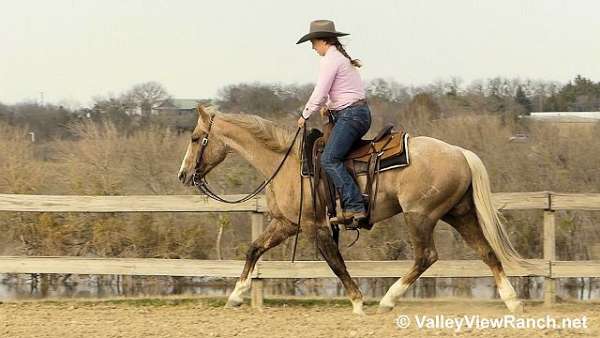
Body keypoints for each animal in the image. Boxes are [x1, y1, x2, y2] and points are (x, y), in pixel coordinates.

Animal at [177, 105, 528, 314]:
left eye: (195, 138)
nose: (183, 175)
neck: (288, 164)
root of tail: (459, 152)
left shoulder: (315, 226)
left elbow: (336, 264)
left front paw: (359, 303)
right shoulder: (285, 224)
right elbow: (253, 249)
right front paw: (235, 296)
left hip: (421, 216)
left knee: (426, 257)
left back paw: (388, 300)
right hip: (458, 212)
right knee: (486, 251)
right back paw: (512, 301)